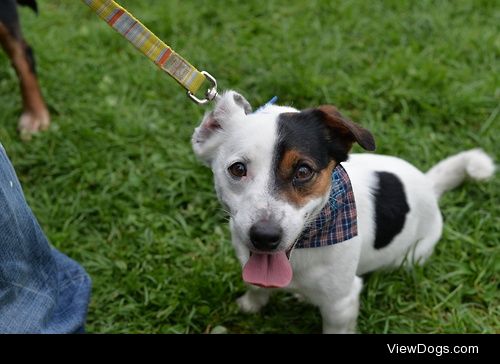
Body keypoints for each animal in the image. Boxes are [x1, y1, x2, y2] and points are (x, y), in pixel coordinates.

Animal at [191, 91, 496, 332]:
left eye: (304, 171)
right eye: (237, 169)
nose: (265, 236)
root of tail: (429, 186)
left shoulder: (342, 304)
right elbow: (255, 286)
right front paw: (250, 305)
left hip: (410, 257)